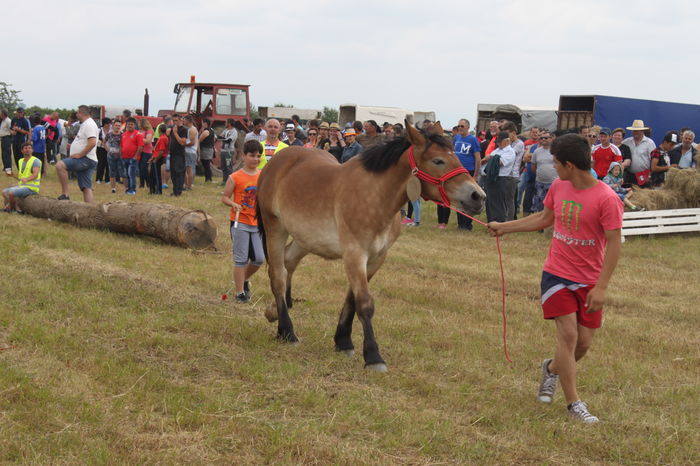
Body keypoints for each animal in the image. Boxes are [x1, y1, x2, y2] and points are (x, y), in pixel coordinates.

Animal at [256, 122, 486, 371]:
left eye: (457, 157)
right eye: (438, 161)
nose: (478, 196)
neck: (375, 196)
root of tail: (276, 161)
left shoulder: (376, 258)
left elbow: (352, 298)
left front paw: (343, 341)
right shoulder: (355, 254)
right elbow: (364, 303)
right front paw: (373, 356)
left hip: (304, 237)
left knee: (288, 263)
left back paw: (277, 318)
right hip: (275, 227)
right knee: (278, 275)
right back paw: (288, 332)